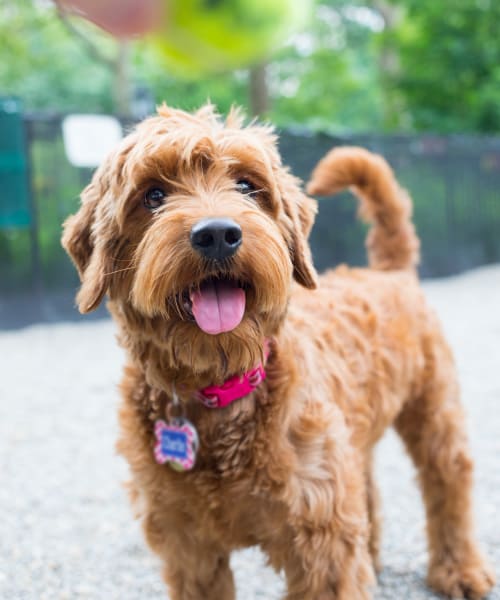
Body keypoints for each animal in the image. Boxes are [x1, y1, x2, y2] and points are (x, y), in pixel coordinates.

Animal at [61, 105, 492, 596]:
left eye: (248, 186)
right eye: (153, 195)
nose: (217, 234)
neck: (220, 389)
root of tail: (389, 271)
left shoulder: (322, 539)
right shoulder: (188, 547)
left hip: (434, 410)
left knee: (448, 481)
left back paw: (459, 569)